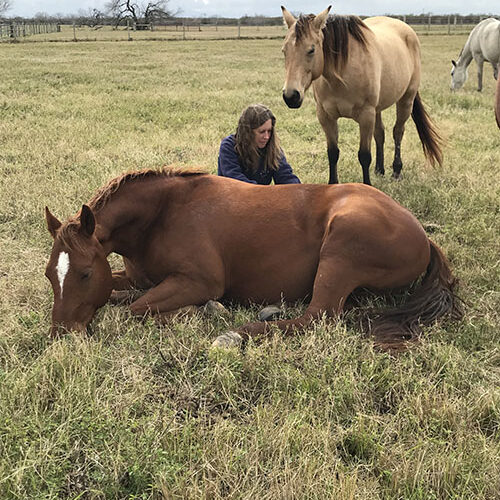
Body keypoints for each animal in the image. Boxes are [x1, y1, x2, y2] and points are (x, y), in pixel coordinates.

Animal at [45, 168, 462, 348]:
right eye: (51, 275)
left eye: (84, 273)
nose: (61, 334)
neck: (163, 213)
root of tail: (423, 235)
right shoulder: (137, 277)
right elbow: (124, 293)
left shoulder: (198, 281)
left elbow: (138, 309)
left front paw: (197, 312)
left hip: (341, 250)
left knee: (316, 316)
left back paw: (236, 332)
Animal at [282, 5, 442, 186]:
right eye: (284, 51)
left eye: (311, 50)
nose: (291, 96)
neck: (342, 74)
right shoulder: (325, 116)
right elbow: (333, 153)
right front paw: (332, 185)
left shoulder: (366, 115)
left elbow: (364, 155)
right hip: (378, 109)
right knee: (380, 134)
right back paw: (379, 170)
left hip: (406, 100)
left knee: (398, 132)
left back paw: (396, 171)